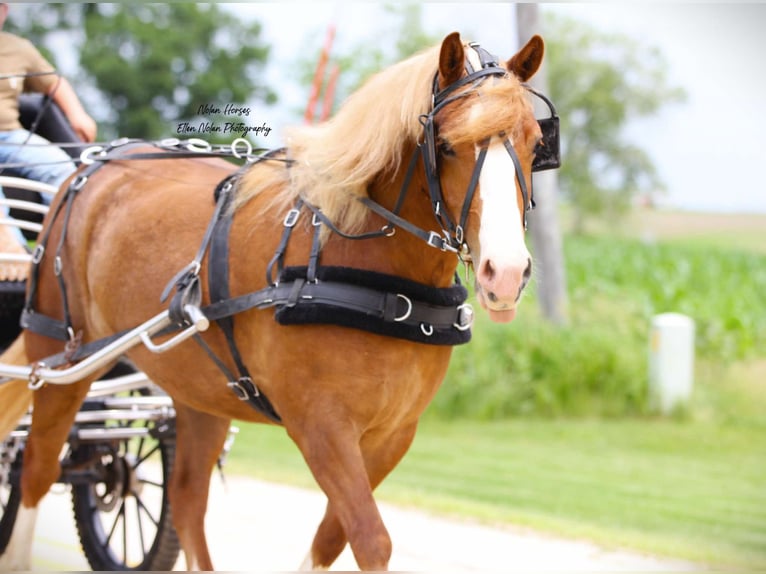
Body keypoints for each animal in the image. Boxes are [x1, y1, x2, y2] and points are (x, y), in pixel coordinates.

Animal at [0, 32, 552, 572]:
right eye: (447, 146)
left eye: (535, 143)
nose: (505, 272)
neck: (378, 279)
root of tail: (87, 169)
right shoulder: (320, 427)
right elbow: (370, 539)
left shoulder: (393, 434)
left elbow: (332, 539)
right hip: (62, 356)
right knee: (37, 471)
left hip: (198, 389)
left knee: (186, 498)